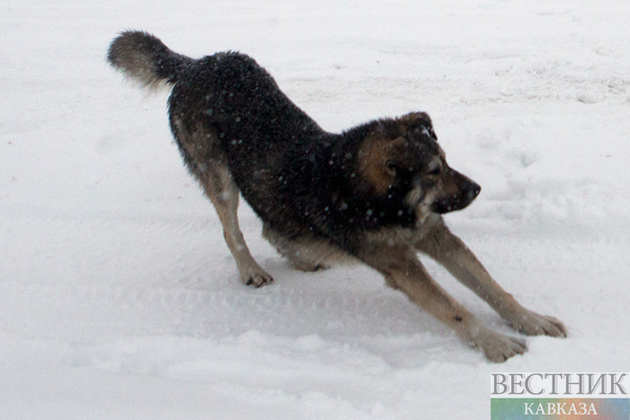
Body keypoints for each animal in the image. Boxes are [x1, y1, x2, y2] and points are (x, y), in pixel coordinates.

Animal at [107, 31, 566, 362]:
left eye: (447, 162)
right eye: (434, 172)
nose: (476, 189)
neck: (382, 202)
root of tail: (194, 64)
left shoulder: (436, 235)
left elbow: (491, 286)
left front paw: (531, 320)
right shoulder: (401, 264)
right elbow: (454, 306)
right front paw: (493, 343)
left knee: (274, 227)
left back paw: (301, 256)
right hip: (219, 178)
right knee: (233, 229)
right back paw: (251, 270)